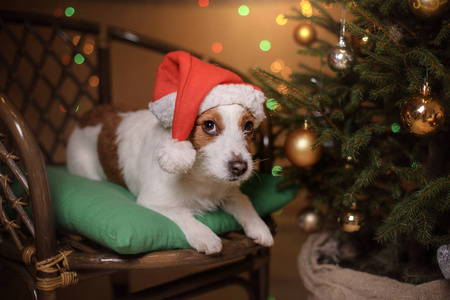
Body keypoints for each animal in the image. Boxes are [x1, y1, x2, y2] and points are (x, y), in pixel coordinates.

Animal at [66, 51, 270, 253]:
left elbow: (243, 200)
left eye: (248, 126)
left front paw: (259, 226)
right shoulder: (152, 201)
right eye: (209, 125)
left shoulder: (228, 191)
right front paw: (204, 234)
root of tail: (87, 116)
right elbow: (181, 211)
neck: (200, 176)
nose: (241, 168)